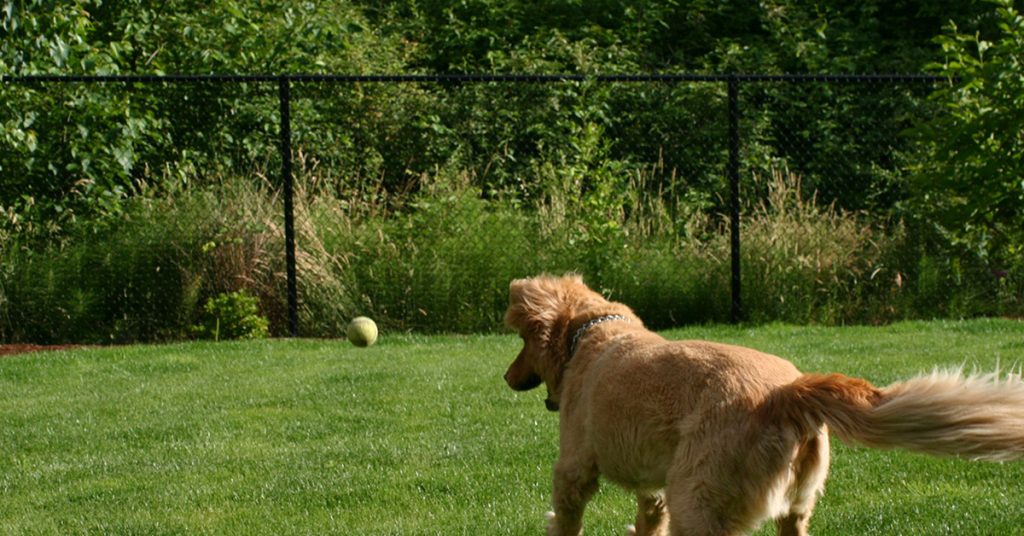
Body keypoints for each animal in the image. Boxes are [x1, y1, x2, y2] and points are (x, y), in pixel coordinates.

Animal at [503, 276, 1024, 536]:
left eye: (522, 341)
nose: (506, 378)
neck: (594, 333)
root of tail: (785, 395)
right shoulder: (653, 490)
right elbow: (647, 521)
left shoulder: (573, 469)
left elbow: (565, 520)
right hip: (793, 509)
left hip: (699, 502)